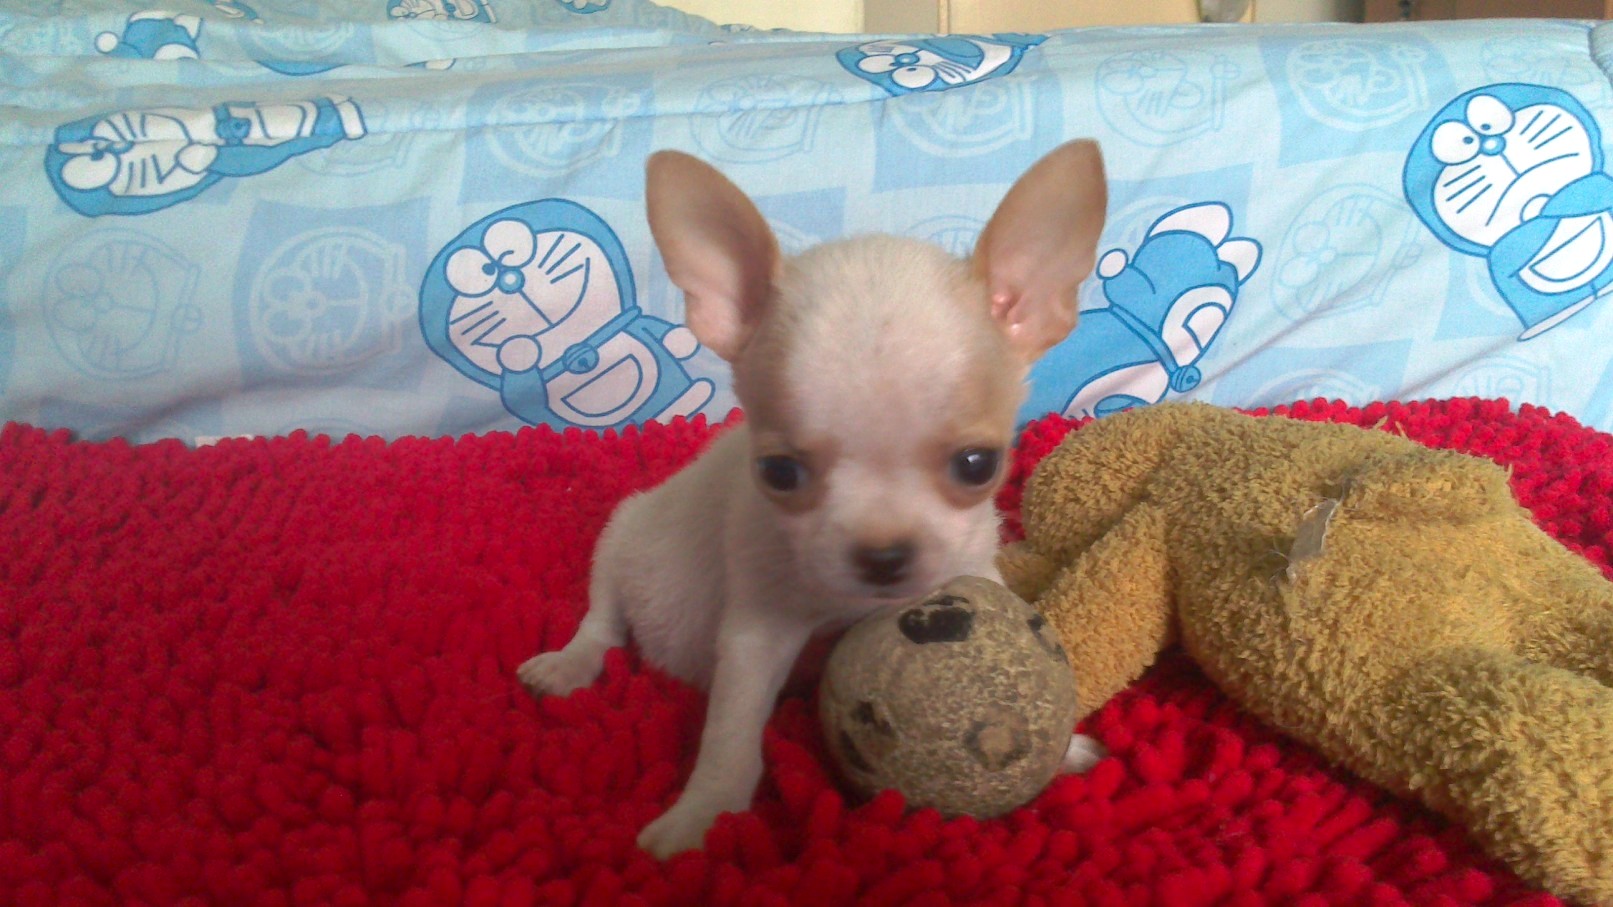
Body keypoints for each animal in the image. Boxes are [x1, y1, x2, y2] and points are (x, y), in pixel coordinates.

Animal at [518, 140, 1110, 858]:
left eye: (979, 465)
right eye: (778, 472)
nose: (884, 556)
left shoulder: (972, 564)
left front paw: (1063, 746)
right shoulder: (756, 632)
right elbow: (731, 735)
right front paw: (703, 816)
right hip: (620, 534)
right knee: (602, 620)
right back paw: (568, 665)